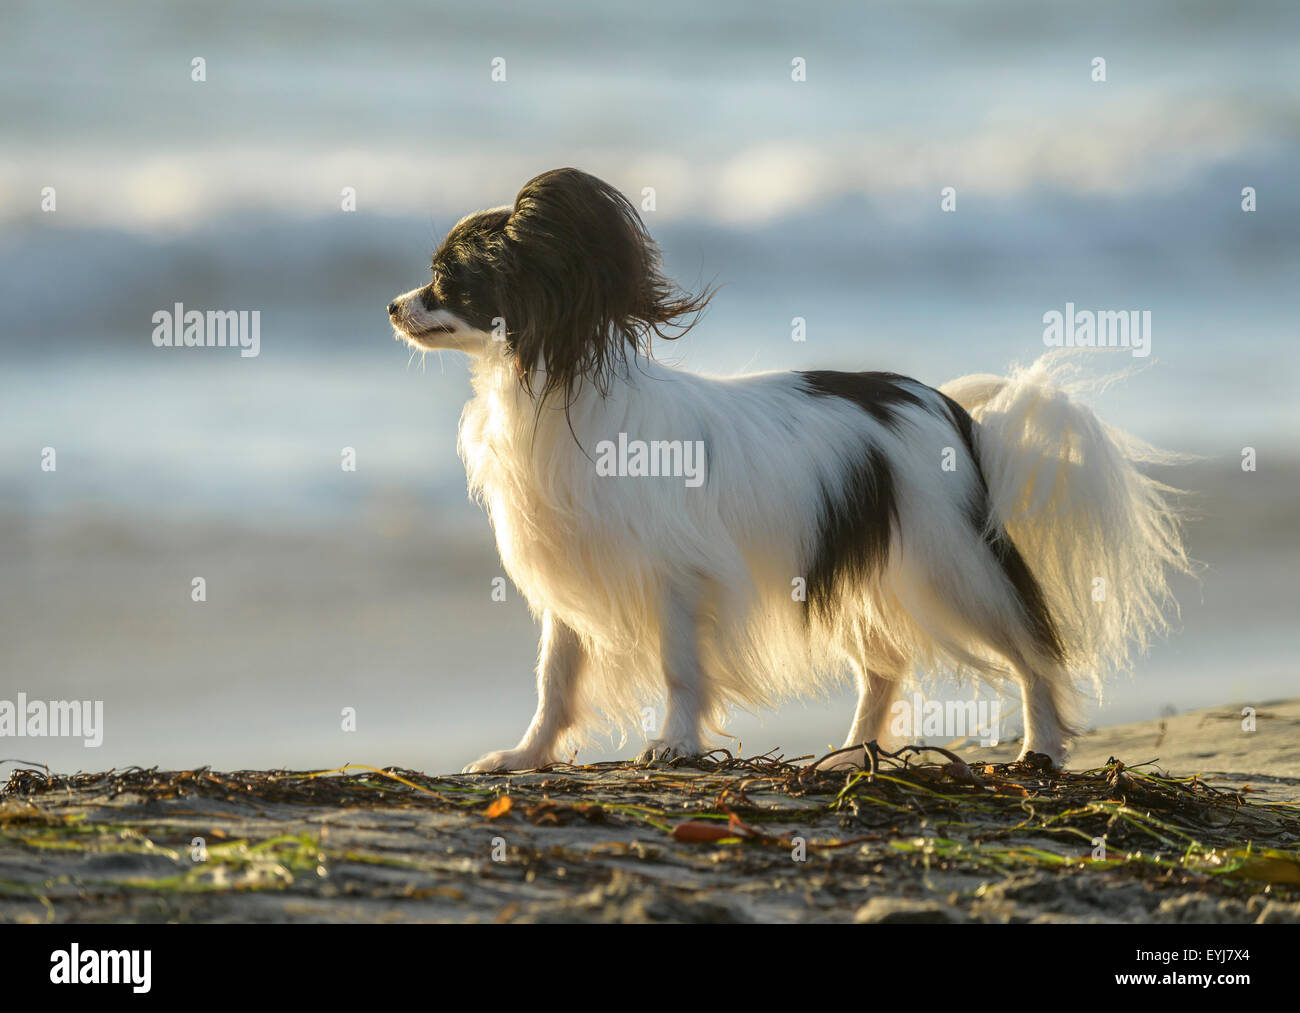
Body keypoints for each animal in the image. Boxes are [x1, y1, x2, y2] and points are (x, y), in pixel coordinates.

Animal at [382, 166, 1190, 775]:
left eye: (448, 279)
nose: (391, 305)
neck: (550, 389)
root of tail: (951, 410)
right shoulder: (572, 580)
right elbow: (555, 678)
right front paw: (525, 757)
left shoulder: (677, 578)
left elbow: (679, 668)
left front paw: (674, 745)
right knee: (885, 667)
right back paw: (851, 756)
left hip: (952, 570)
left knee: (1033, 648)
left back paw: (1041, 748)